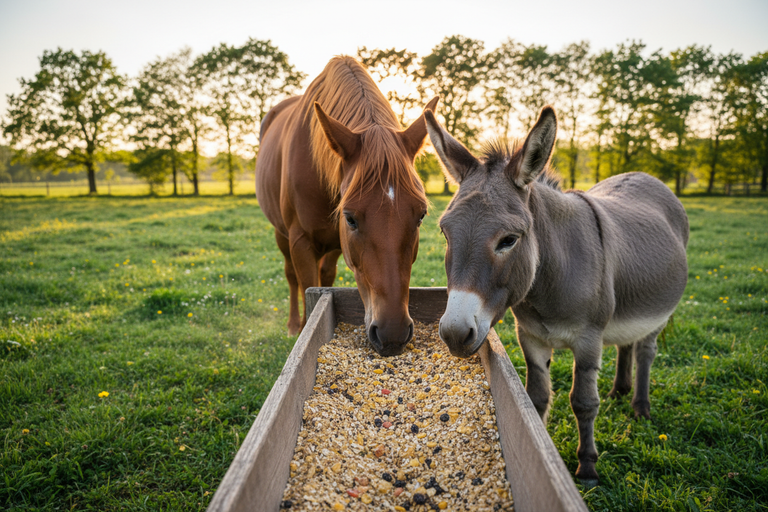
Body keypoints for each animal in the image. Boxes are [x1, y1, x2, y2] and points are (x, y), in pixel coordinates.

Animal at [256, 56, 438, 356]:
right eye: (350, 218)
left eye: (421, 216)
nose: (392, 334)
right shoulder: (300, 241)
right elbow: (306, 286)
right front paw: (302, 331)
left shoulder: (337, 244)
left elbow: (325, 280)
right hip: (281, 234)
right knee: (291, 276)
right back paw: (293, 325)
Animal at [424, 106, 689, 483]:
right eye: (445, 234)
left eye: (508, 240)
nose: (455, 334)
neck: (546, 289)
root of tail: (646, 176)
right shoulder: (531, 336)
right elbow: (537, 397)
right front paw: (542, 442)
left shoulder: (589, 340)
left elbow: (583, 402)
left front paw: (587, 466)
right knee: (626, 344)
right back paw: (619, 391)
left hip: (658, 316)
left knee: (645, 352)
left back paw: (640, 407)